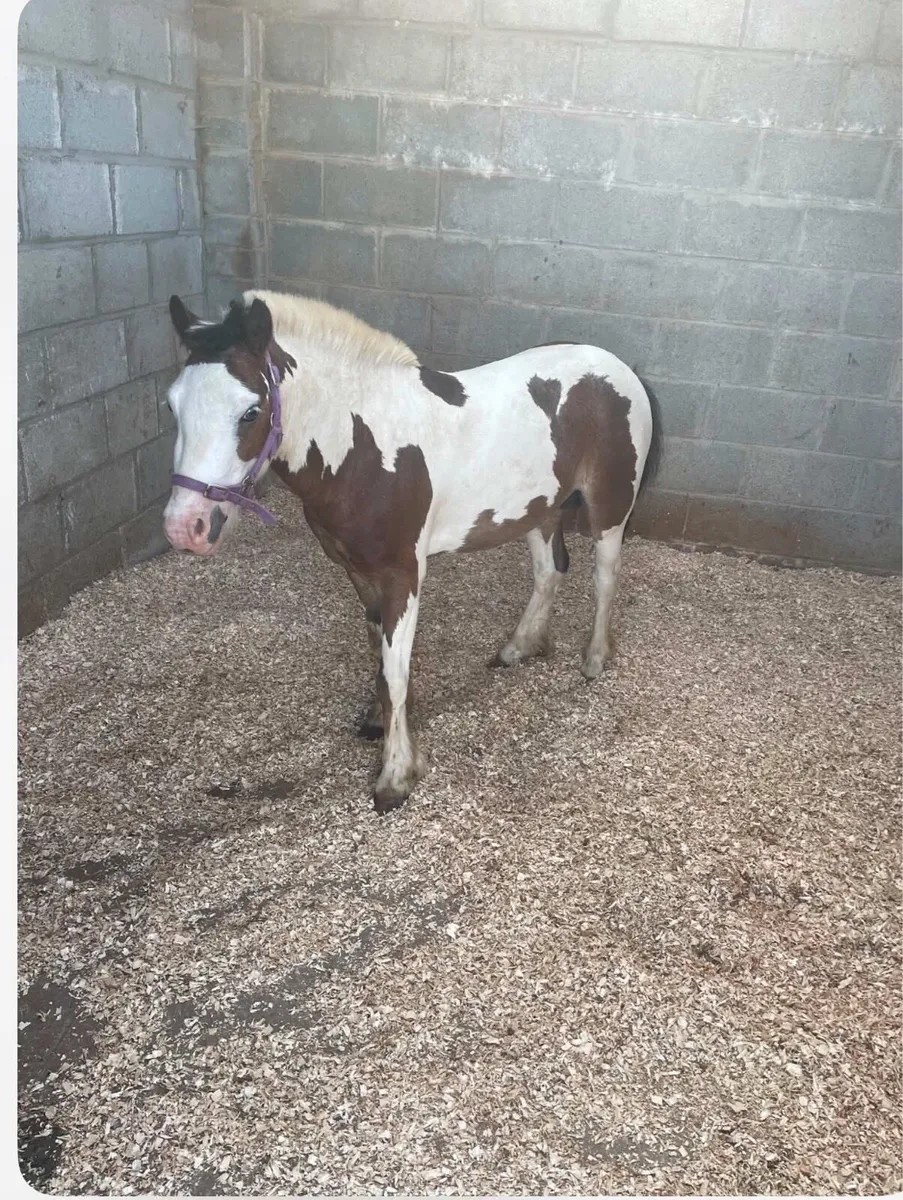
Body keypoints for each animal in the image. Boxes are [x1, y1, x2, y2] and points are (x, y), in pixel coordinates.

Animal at [162, 289, 662, 812]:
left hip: (609, 509)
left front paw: (396, 776)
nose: (185, 528)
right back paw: (518, 648)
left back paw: (595, 660)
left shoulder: (402, 574)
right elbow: (380, 662)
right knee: (550, 571)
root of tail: (619, 369)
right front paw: (380, 724)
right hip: (540, 509)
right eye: (172, 407)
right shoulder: (358, 572)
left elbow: (395, 672)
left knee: (604, 577)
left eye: (250, 411)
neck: (363, 446)